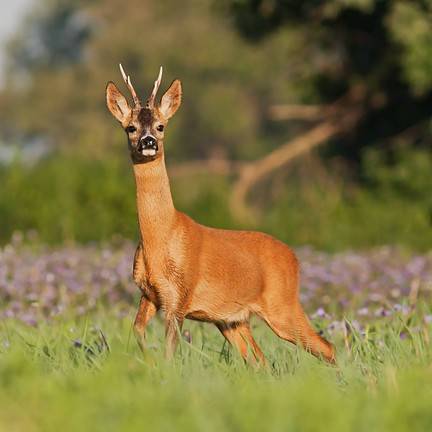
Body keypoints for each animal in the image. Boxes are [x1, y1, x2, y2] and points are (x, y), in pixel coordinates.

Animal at [104, 66, 334, 364]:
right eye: (130, 127)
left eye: (161, 125)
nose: (148, 141)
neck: (162, 237)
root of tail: (295, 259)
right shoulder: (150, 294)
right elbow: (138, 331)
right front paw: (148, 365)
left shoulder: (179, 296)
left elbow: (170, 351)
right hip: (232, 320)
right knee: (261, 361)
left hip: (281, 305)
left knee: (327, 347)